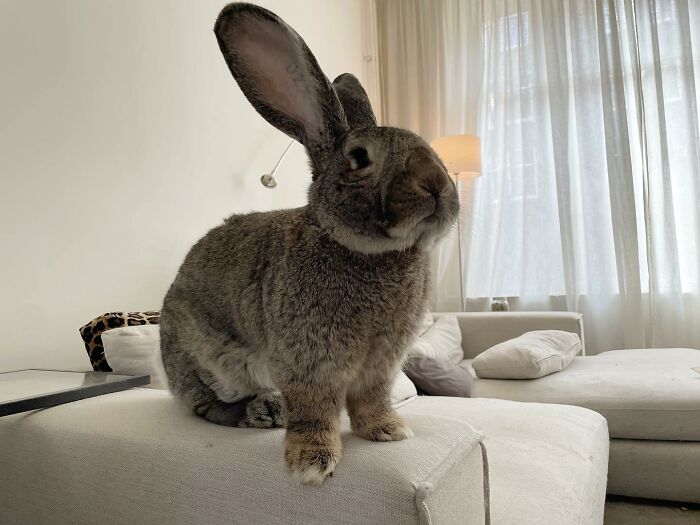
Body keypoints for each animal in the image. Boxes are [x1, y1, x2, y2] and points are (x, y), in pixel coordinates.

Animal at [159, 2, 459, 486]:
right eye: (359, 158)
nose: (436, 184)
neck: (364, 251)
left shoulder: (381, 364)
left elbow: (372, 399)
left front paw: (388, 431)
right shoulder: (309, 362)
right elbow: (315, 409)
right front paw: (311, 462)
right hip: (208, 362)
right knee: (208, 406)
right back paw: (264, 410)